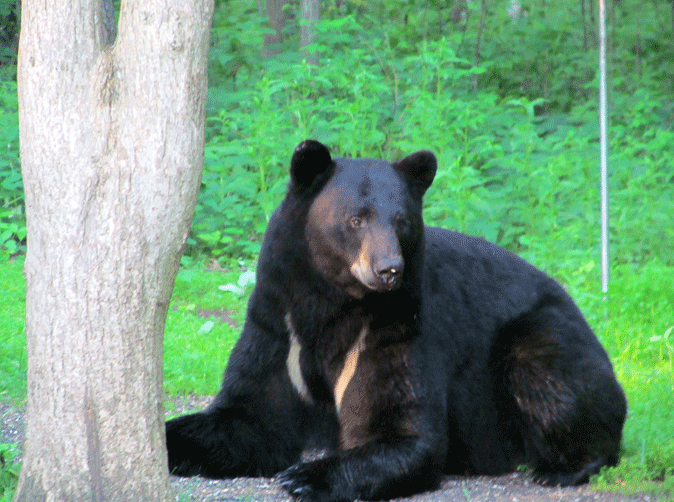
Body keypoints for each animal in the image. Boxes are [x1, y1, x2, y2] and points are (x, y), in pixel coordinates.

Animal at [167, 139, 624, 502]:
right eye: (355, 219)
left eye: (402, 220)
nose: (389, 269)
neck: (330, 304)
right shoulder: (278, 322)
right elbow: (247, 415)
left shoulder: (394, 326)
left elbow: (404, 429)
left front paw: (305, 475)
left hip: (541, 333)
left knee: (550, 376)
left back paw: (563, 466)